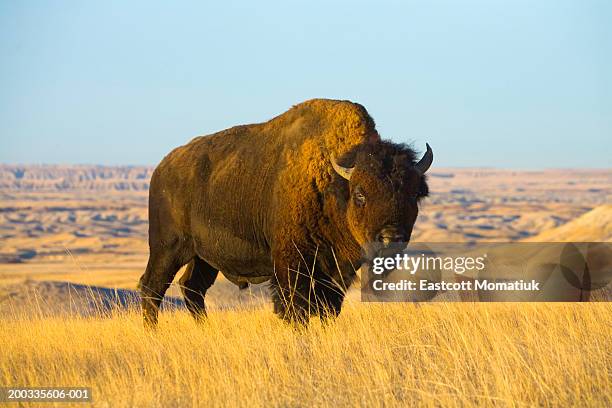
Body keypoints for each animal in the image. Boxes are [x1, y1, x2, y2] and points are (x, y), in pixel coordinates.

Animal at [141, 99, 432, 326]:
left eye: (414, 194)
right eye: (360, 194)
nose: (391, 237)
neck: (333, 185)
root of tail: (162, 168)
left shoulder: (336, 271)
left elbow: (328, 308)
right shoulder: (292, 263)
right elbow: (295, 308)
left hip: (203, 257)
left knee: (192, 288)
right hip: (168, 248)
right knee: (152, 287)